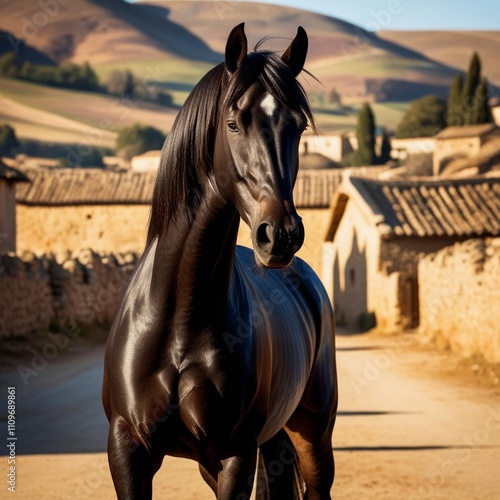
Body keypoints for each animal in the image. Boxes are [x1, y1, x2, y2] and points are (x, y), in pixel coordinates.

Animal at [102, 22, 338, 496]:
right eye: (233, 123)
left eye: (299, 126)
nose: (280, 235)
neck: (180, 319)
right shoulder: (126, 449)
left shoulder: (233, 453)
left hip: (314, 436)